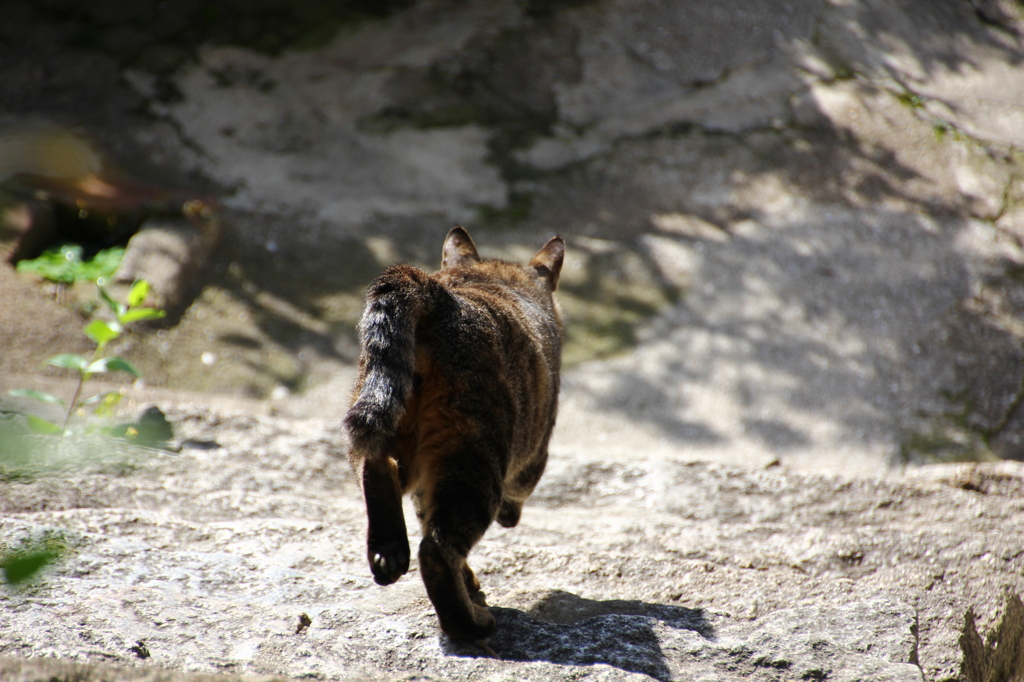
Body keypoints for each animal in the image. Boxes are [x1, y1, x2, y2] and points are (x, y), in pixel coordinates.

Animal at [348, 225, 565, 638]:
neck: (487, 277)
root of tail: (436, 296)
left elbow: (423, 513)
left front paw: (470, 582)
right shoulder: (535, 452)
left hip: (386, 412)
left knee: (376, 466)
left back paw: (388, 550)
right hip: (473, 454)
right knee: (436, 549)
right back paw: (470, 625)